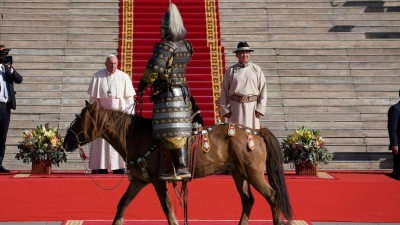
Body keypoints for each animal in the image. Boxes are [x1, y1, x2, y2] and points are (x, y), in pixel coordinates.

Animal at [63, 102, 294, 225]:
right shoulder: (139, 180)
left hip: (252, 173)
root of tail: (256, 131)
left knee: (272, 196)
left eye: (79, 121)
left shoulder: (158, 181)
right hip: (239, 174)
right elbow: (122, 204)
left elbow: (167, 208)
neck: (136, 136)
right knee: (248, 201)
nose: (66, 141)